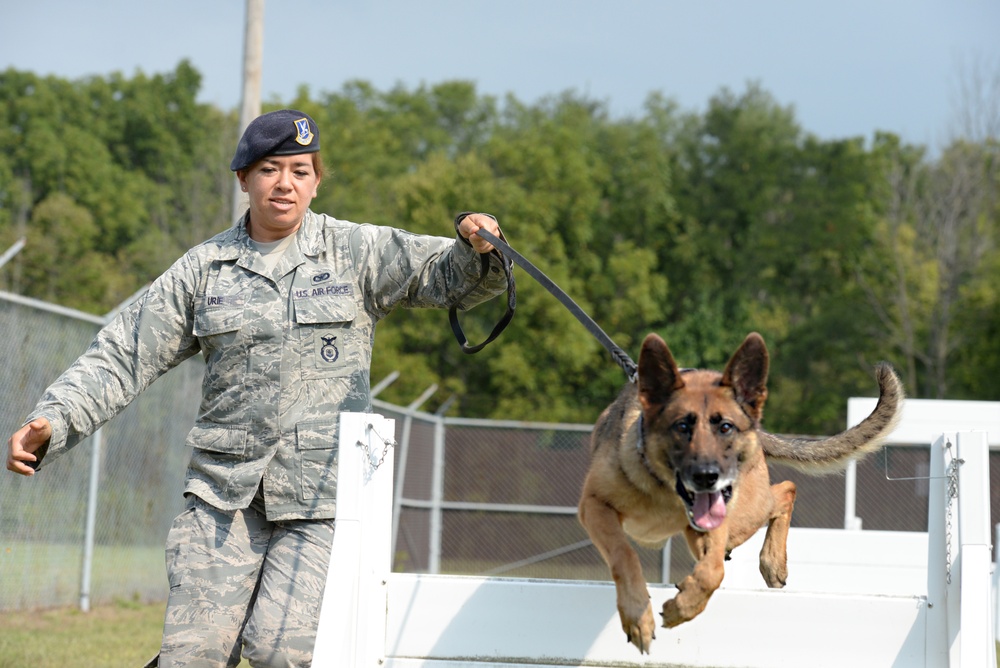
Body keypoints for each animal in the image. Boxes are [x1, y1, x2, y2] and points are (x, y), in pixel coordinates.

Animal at [576, 332, 904, 656]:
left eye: (725, 427)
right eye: (681, 427)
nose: (708, 477)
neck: (664, 490)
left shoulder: (713, 523)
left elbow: (713, 572)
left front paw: (682, 608)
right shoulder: (594, 506)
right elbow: (624, 554)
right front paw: (638, 616)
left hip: (743, 514)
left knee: (786, 490)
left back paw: (772, 561)